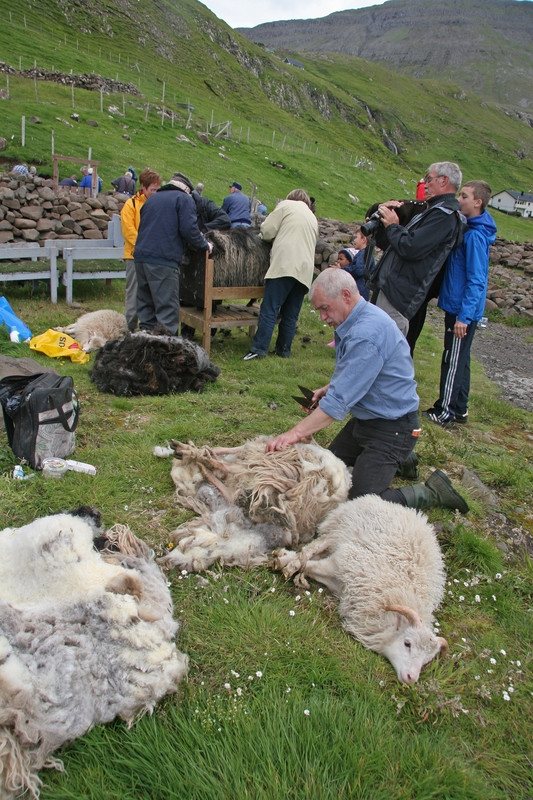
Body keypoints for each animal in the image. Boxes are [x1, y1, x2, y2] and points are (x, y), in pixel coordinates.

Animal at [158, 434, 350, 572]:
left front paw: (195, 454)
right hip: (269, 467)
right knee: (231, 477)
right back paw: (193, 453)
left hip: (271, 468)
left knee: (229, 474)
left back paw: (197, 458)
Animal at [272, 490, 446, 684]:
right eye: (407, 643)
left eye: (427, 660)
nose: (411, 679)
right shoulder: (344, 560)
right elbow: (310, 564)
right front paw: (285, 561)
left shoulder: (342, 581)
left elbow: (311, 567)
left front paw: (290, 563)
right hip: (340, 528)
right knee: (317, 545)